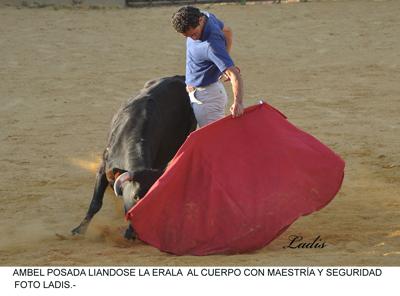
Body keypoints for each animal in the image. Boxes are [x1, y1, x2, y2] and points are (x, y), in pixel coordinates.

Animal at [72, 75, 198, 238]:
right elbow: (95, 203)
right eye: (135, 197)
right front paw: (79, 230)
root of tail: (180, 78)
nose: (135, 234)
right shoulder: (103, 168)